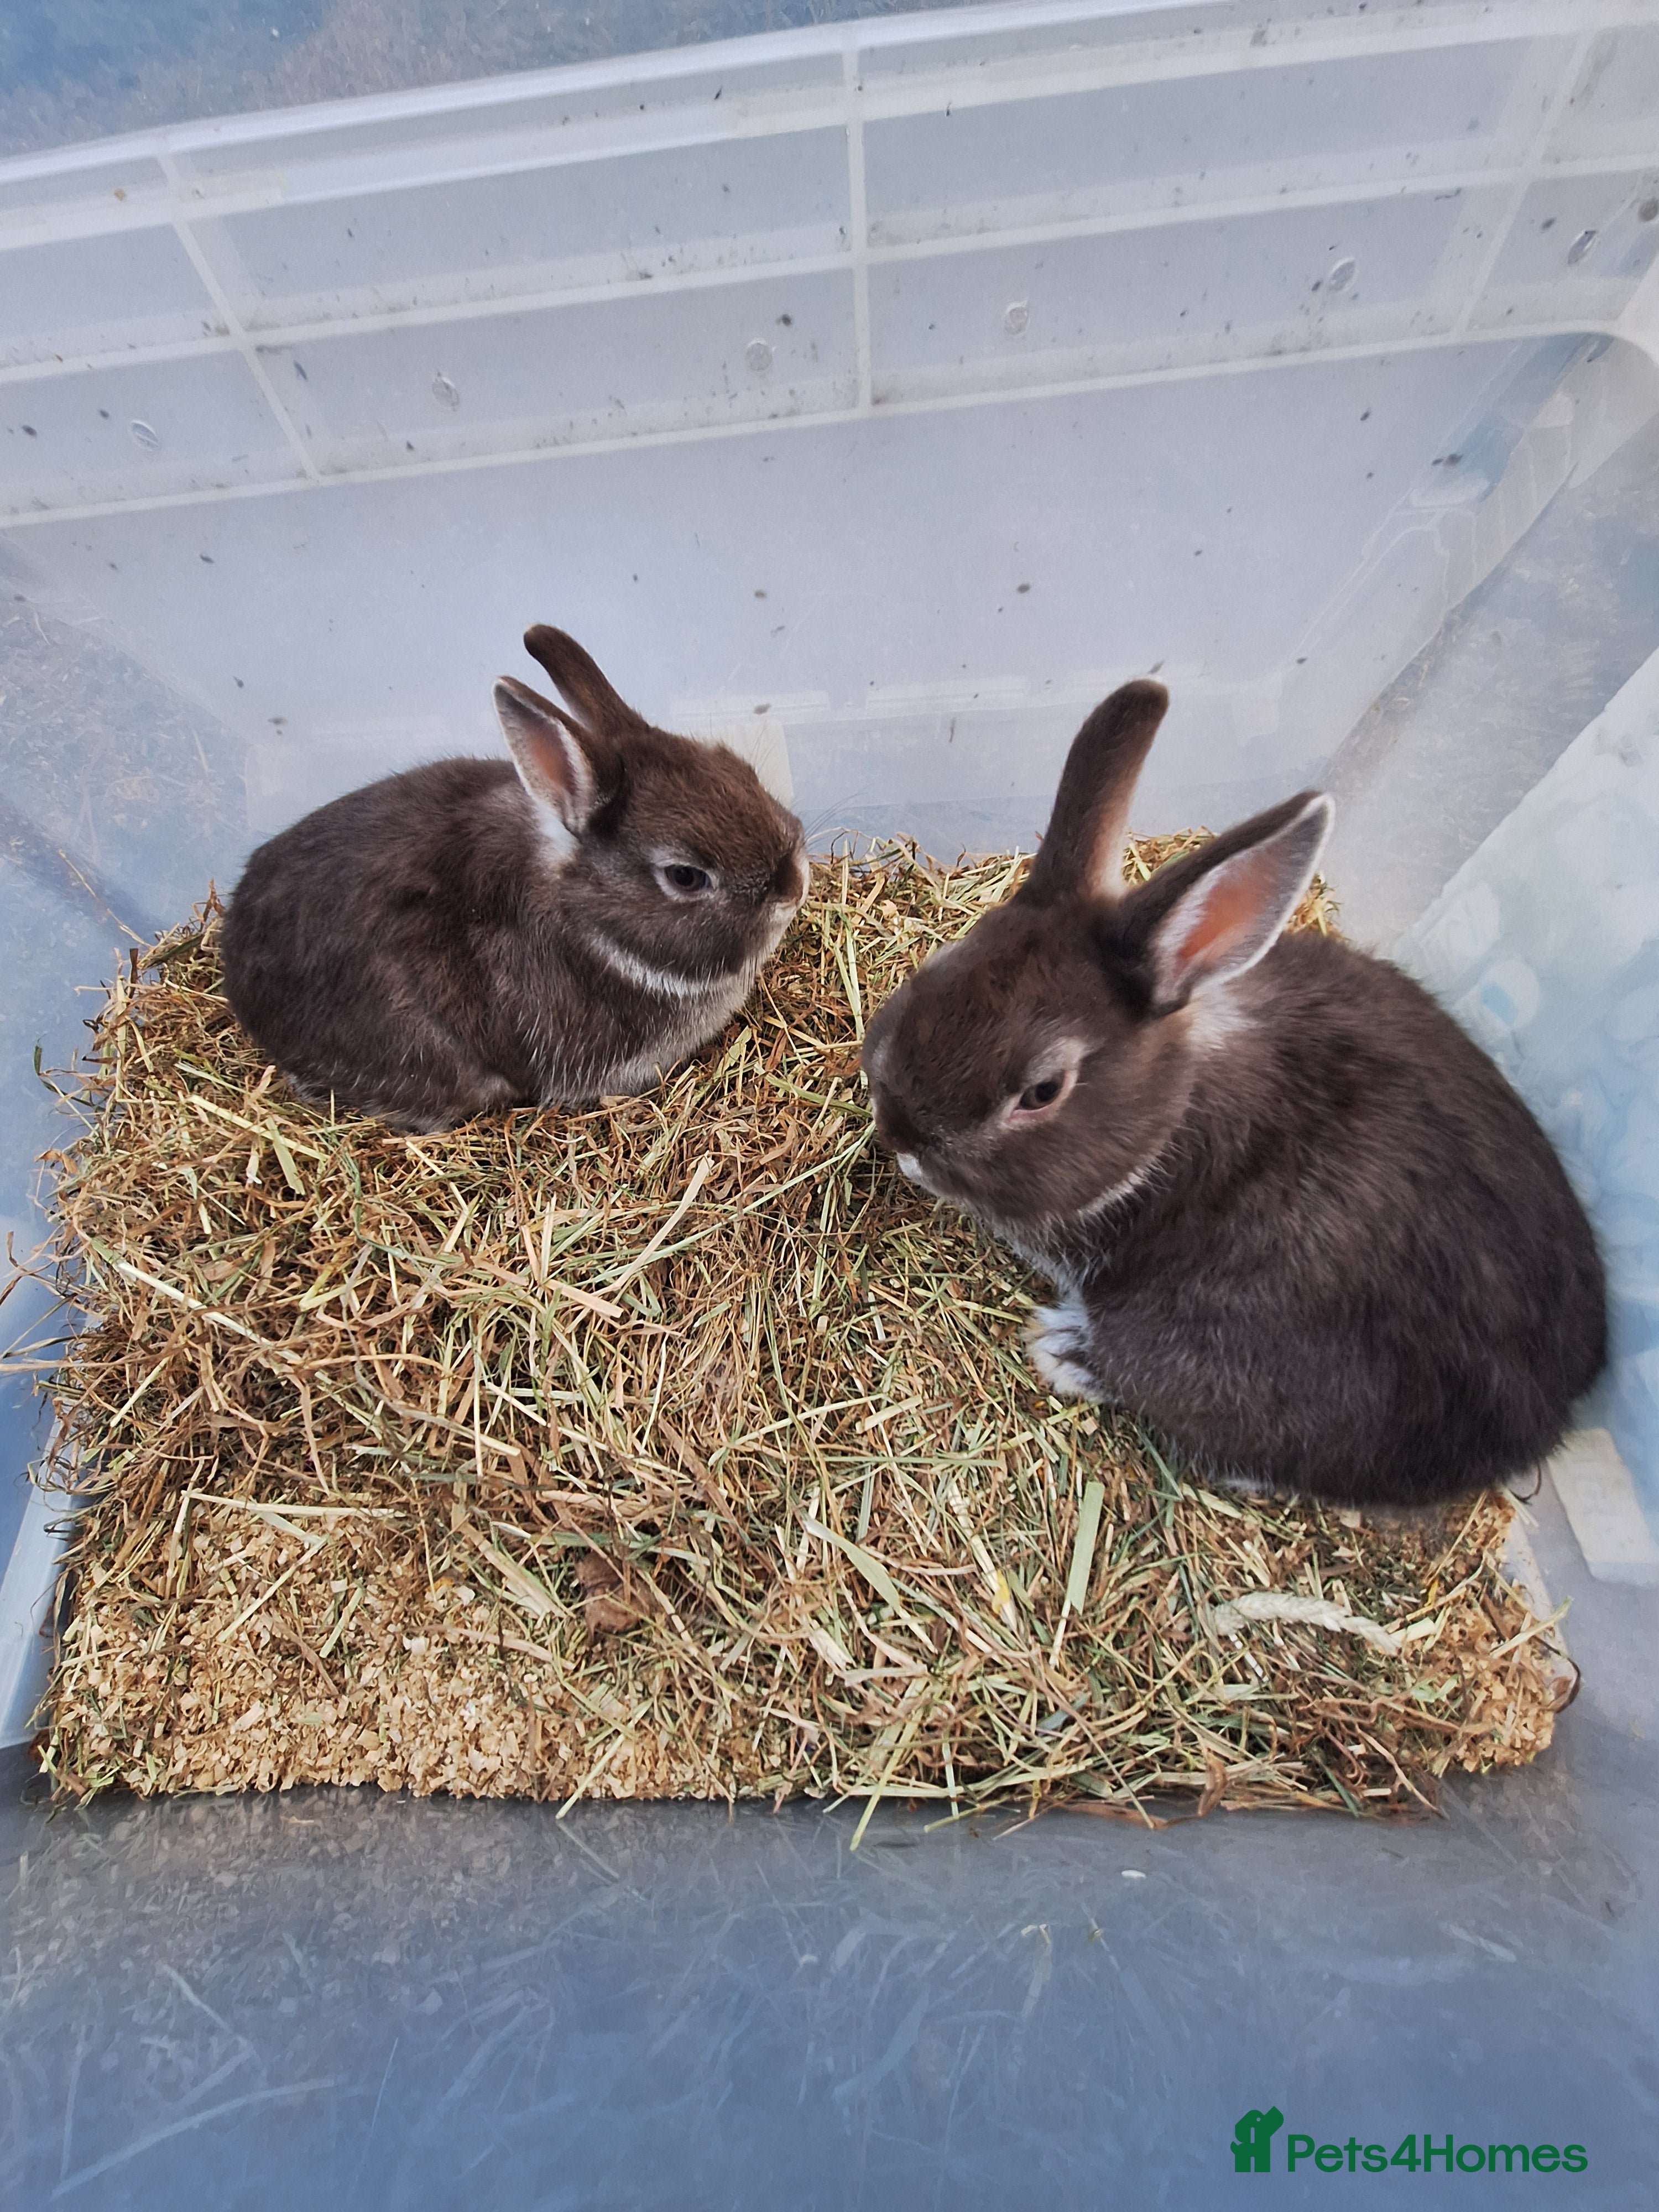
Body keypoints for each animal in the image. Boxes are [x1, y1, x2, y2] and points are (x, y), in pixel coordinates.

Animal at [859, 679, 1606, 1508]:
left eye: (1043, 1090)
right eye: (945, 960)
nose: (901, 1136)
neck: (1172, 1114)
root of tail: (1538, 1427)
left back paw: (1067, 1349)